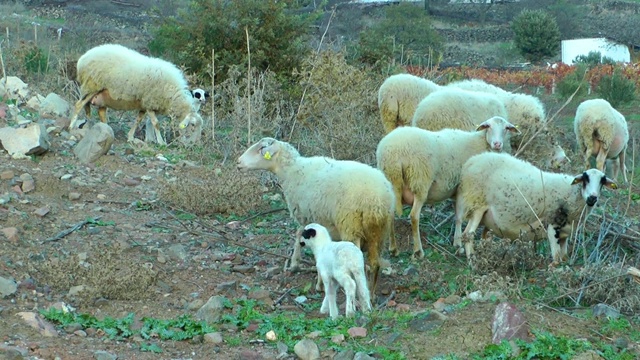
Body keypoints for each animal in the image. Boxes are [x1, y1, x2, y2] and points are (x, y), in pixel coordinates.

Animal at [68, 44, 202, 146]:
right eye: (192, 125)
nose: (193, 144)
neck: (173, 95)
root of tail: (83, 58)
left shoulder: (144, 104)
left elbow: (138, 120)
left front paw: (130, 137)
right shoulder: (149, 102)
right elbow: (156, 123)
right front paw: (161, 142)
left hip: (99, 94)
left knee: (98, 111)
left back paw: (104, 129)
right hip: (91, 86)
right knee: (79, 105)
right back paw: (72, 126)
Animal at [235, 136, 396, 296]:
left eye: (262, 148)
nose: (238, 162)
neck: (292, 170)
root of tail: (377, 199)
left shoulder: (307, 214)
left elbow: (302, 234)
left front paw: (312, 277)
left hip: (350, 226)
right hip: (378, 231)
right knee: (375, 263)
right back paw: (372, 293)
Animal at [376, 115, 520, 258]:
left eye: (506, 128)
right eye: (488, 126)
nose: (497, 144)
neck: (480, 142)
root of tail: (394, 153)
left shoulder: (456, 190)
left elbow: (456, 216)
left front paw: (457, 243)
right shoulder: (464, 189)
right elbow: (460, 217)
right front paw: (459, 246)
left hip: (391, 184)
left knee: (390, 215)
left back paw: (393, 249)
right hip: (420, 182)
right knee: (414, 216)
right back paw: (418, 251)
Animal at [452, 150, 616, 262]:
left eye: (602, 181)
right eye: (585, 179)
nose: (592, 198)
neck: (571, 194)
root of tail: (471, 161)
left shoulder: (565, 233)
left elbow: (564, 257)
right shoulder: (552, 225)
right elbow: (556, 258)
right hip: (476, 204)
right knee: (467, 234)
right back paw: (472, 261)